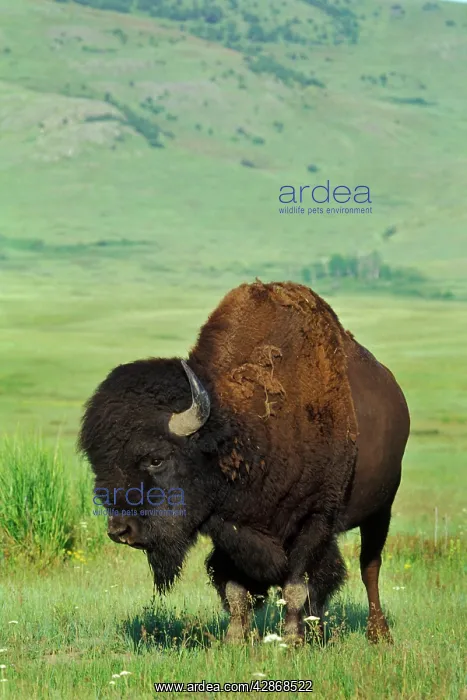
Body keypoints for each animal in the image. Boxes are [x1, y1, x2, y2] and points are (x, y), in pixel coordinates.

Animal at [79, 281, 410, 644]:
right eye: (99, 463)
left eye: (156, 458)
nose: (120, 530)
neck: (240, 432)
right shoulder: (230, 527)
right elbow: (237, 590)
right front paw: (236, 640)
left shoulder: (313, 521)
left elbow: (296, 585)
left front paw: (292, 640)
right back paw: (320, 630)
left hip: (381, 510)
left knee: (369, 567)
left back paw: (378, 634)